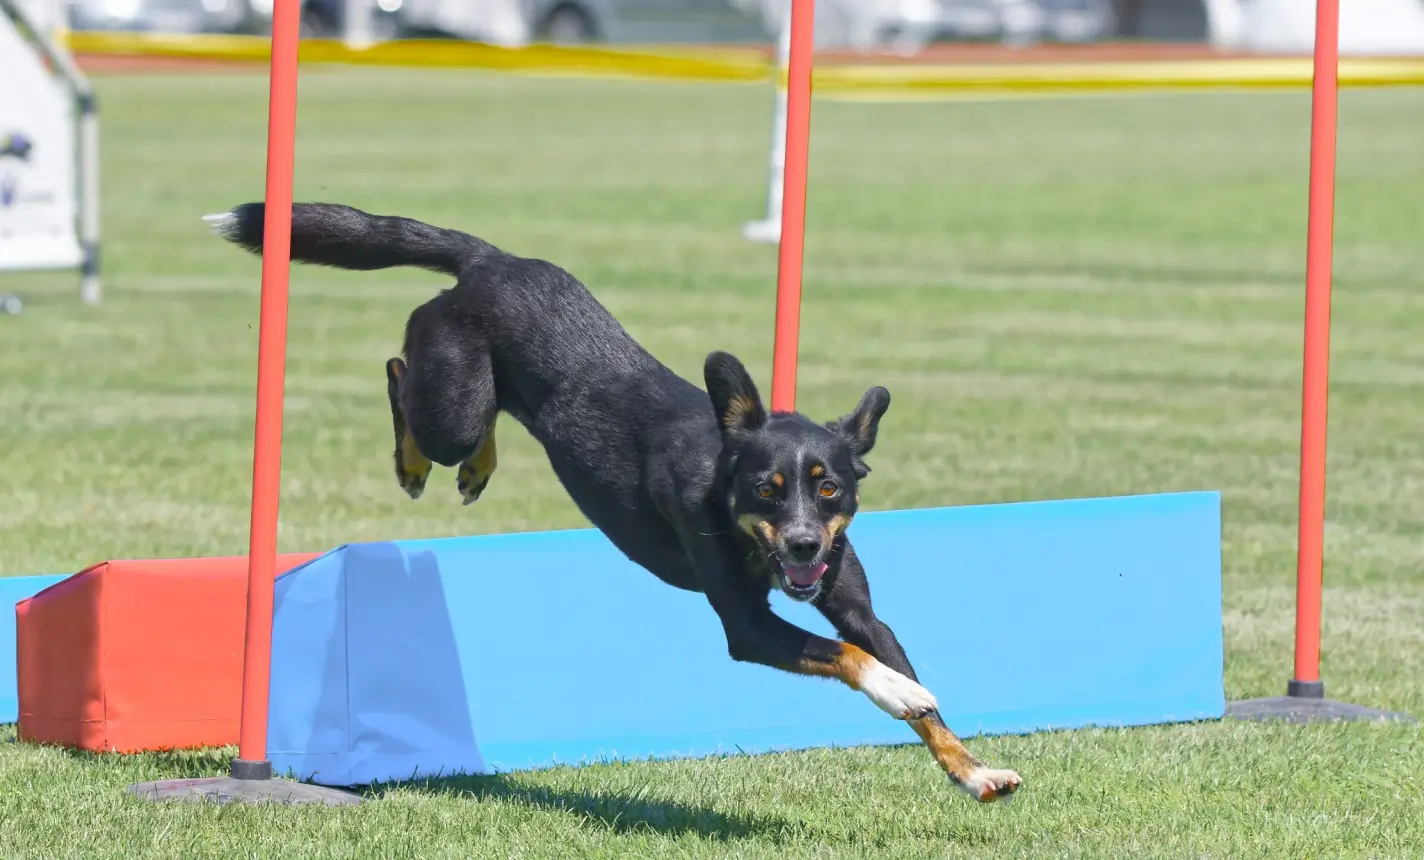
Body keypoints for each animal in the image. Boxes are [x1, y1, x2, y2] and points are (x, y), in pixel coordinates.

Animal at [203, 199, 1025, 797]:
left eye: (828, 489)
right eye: (767, 490)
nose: (801, 545)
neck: (733, 513)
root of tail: (490, 259)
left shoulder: (854, 602)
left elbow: (892, 665)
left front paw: (973, 770)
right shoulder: (749, 628)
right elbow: (854, 660)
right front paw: (896, 692)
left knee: (462, 415)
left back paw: (478, 471)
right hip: (451, 399)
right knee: (400, 372)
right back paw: (418, 461)